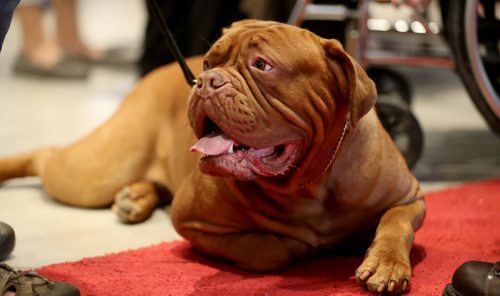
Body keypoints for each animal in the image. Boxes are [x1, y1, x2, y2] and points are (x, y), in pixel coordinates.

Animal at [0, 20, 426, 294]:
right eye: (208, 63)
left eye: (262, 65)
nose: (205, 80)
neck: (310, 181)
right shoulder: (193, 220)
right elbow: (271, 250)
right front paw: (307, 245)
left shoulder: (410, 198)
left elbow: (395, 224)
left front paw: (386, 263)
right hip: (94, 171)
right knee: (46, 156)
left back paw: (135, 197)